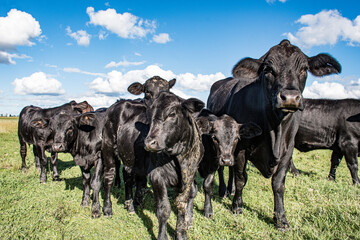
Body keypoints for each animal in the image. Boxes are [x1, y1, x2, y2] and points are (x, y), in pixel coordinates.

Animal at [144, 92, 205, 240]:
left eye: (172, 114)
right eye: (149, 115)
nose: (149, 143)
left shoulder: (189, 175)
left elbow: (181, 204)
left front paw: (181, 232)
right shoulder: (156, 176)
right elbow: (164, 209)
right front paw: (162, 235)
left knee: (193, 192)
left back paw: (189, 218)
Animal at [207, 40, 342, 230]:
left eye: (304, 68)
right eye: (268, 69)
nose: (290, 98)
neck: (274, 129)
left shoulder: (288, 149)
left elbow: (278, 184)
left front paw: (280, 218)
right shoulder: (240, 148)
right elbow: (241, 178)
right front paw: (237, 206)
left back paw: (230, 190)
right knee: (223, 168)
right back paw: (224, 191)